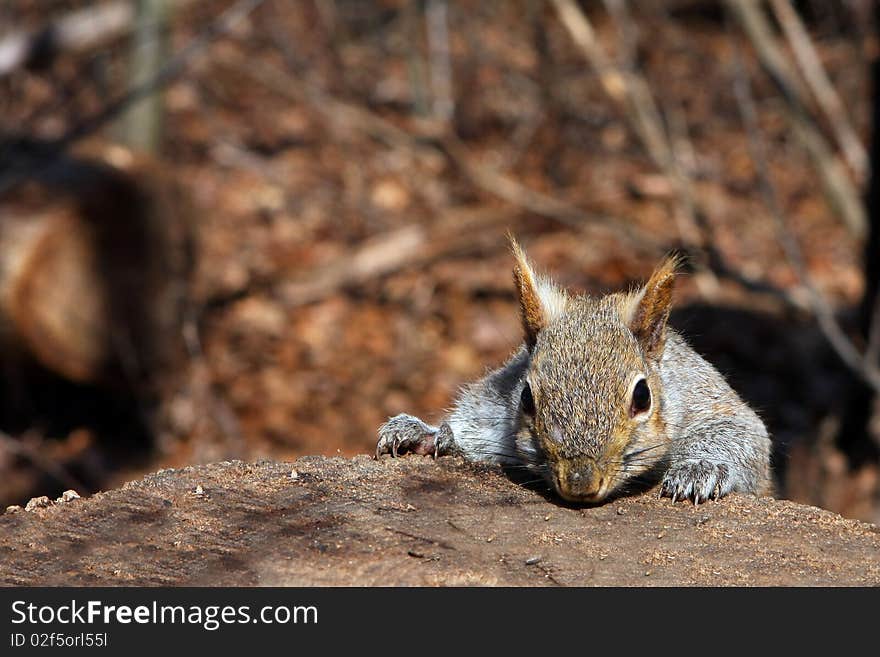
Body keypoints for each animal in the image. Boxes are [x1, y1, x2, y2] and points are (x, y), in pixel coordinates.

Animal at [374, 240, 772, 502]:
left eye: (643, 397)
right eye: (526, 397)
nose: (580, 483)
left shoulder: (703, 396)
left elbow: (741, 435)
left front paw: (700, 470)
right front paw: (425, 435)